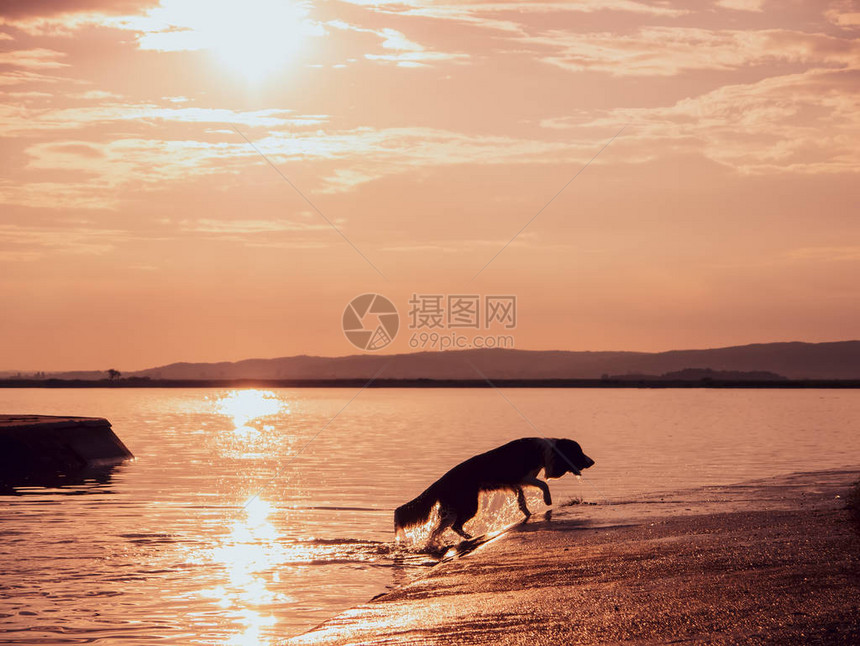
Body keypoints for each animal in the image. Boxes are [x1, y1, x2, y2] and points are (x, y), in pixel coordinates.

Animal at [394, 440, 592, 540]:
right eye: (579, 452)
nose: (593, 461)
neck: (546, 450)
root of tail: (440, 481)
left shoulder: (516, 483)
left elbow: (521, 498)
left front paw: (527, 513)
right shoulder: (522, 476)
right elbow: (543, 484)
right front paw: (547, 500)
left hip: (454, 507)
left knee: (439, 529)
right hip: (468, 505)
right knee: (454, 525)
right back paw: (469, 537)